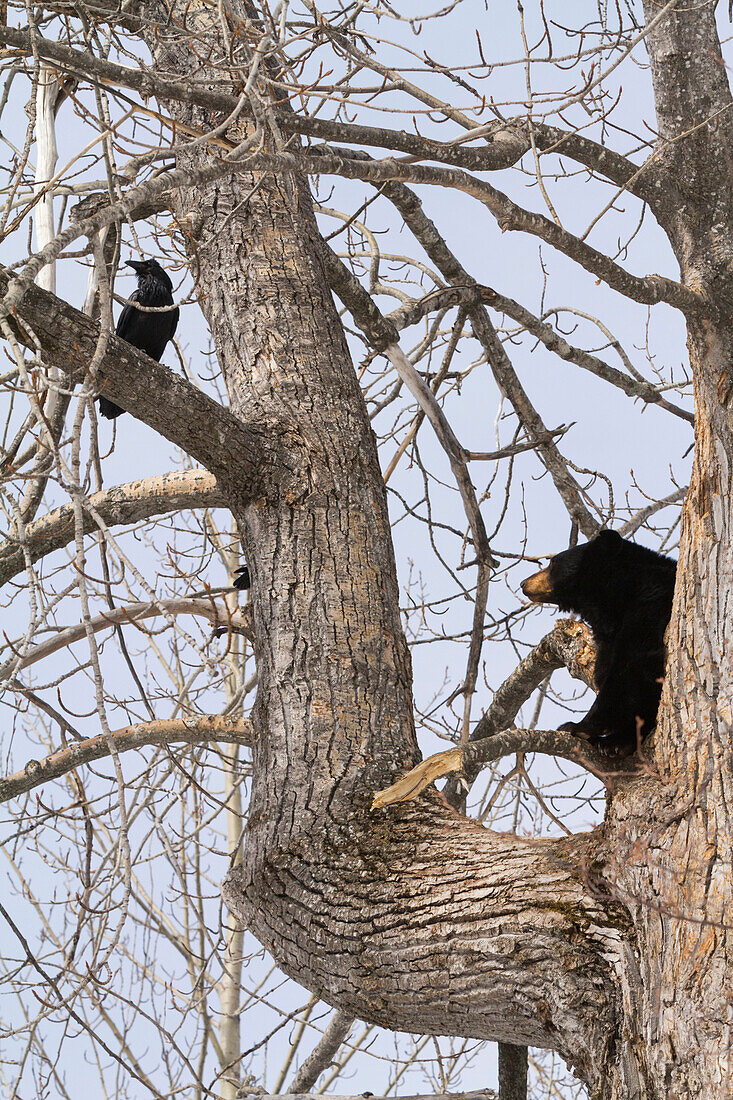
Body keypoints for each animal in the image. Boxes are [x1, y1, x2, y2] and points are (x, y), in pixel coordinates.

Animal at [519, 528, 673, 752]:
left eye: (553, 562)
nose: (523, 583)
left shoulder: (650, 604)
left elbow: (629, 671)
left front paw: (579, 726)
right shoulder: (608, 638)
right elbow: (607, 671)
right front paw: (616, 739)